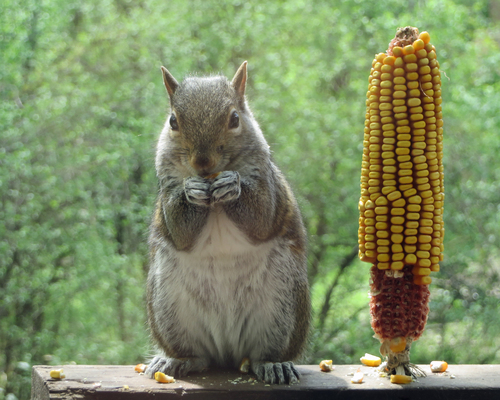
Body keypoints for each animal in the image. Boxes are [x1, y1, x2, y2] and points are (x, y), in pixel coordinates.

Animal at [145, 61, 310, 384]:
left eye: (235, 118)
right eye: (173, 121)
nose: (202, 163)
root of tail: (227, 352)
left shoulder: (265, 183)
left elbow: (261, 218)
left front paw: (233, 186)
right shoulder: (168, 188)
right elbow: (180, 231)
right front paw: (192, 191)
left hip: (283, 304)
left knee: (264, 354)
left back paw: (273, 365)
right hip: (167, 307)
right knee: (197, 356)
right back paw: (175, 360)